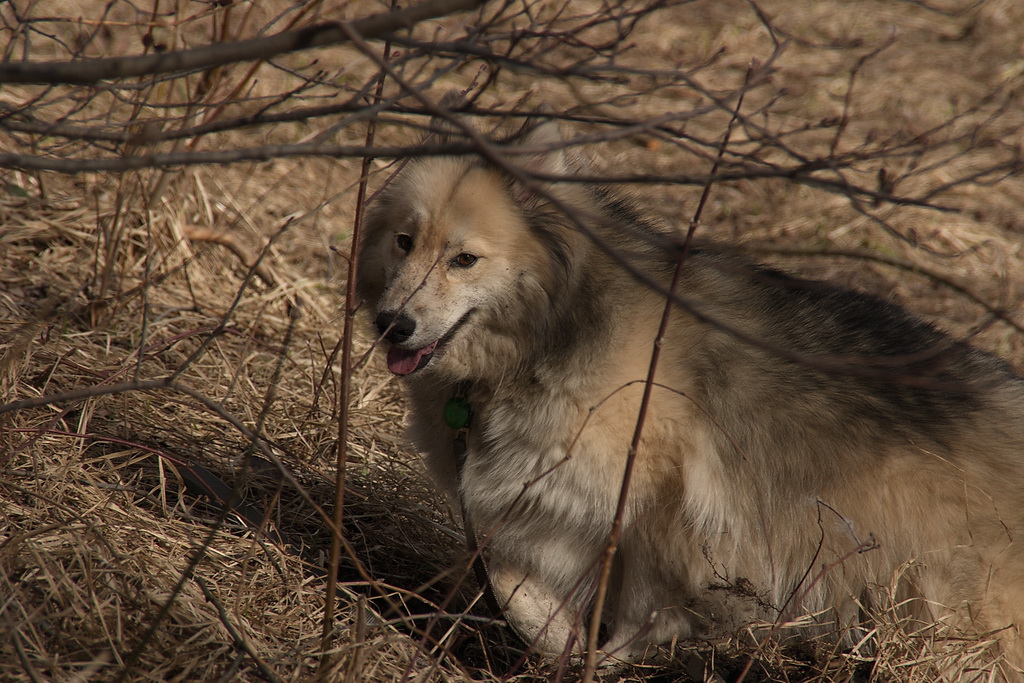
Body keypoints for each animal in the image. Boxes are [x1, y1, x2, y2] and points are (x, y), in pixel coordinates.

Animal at [356, 104, 1024, 675]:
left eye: (464, 260)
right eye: (404, 242)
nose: (393, 323)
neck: (553, 331)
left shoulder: (658, 511)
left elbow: (644, 614)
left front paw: (608, 662)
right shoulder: (536, 508)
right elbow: (515, 591)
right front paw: (557, 643)